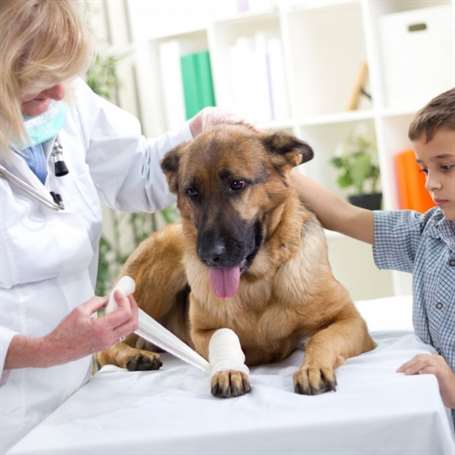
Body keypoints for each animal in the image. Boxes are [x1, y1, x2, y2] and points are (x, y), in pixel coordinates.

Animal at [98, 125, 376, 400]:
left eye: (237, 184)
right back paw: (135, 356)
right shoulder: (203, 333)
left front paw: (312, 368)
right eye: (192, 191)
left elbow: (322, 338)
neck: (257, 282)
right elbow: (226, 337)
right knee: (105, 348)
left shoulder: (349, 319)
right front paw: (229, 370)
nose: (210, 256)